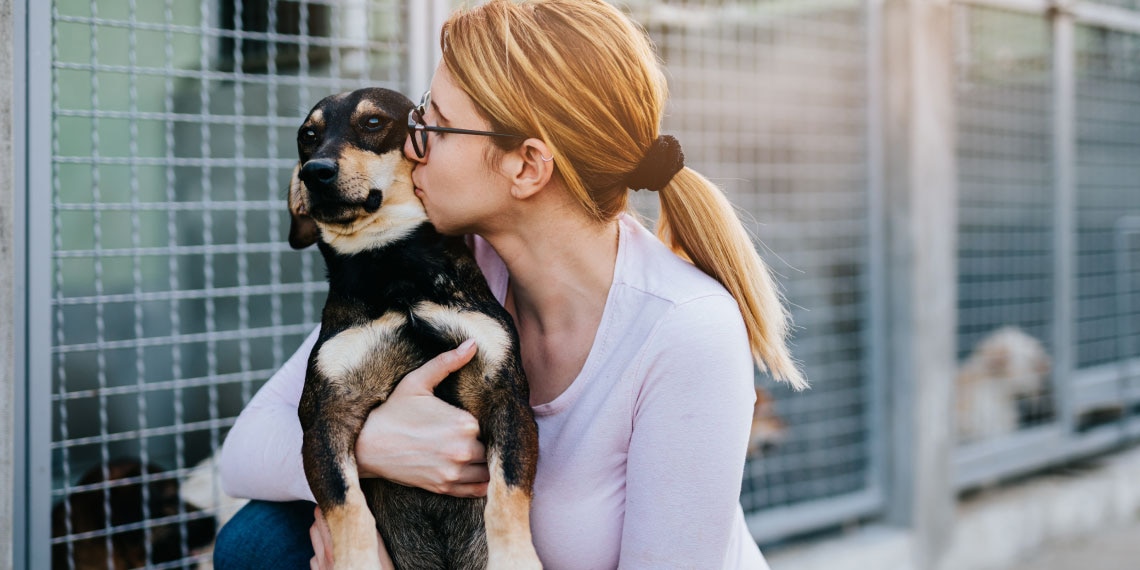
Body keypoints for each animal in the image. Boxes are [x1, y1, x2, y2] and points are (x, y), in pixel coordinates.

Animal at [287, 86, 540, 567]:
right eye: (307, 136)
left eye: (372, 122)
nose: (314, 172)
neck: (392, 267)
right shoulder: (326, 413)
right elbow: (347, 508)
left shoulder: (505, 394)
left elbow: (508, 494)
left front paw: (516, 557)